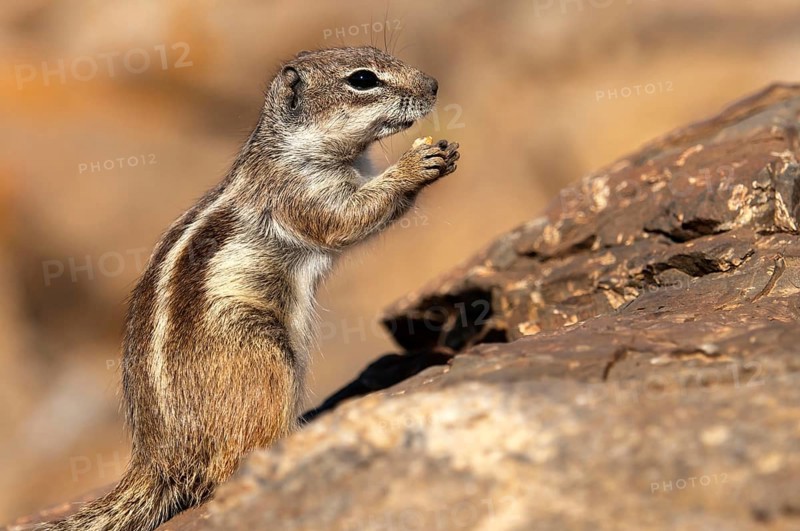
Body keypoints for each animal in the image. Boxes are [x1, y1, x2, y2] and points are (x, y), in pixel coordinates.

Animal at [37, 46, 459, 530]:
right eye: (362, 79)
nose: (434, 85)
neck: (301, 148)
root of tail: (159, 458)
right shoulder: (299, 194)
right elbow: (347, 220)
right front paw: (415, 167)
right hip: (262, 350)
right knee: (232, 463)